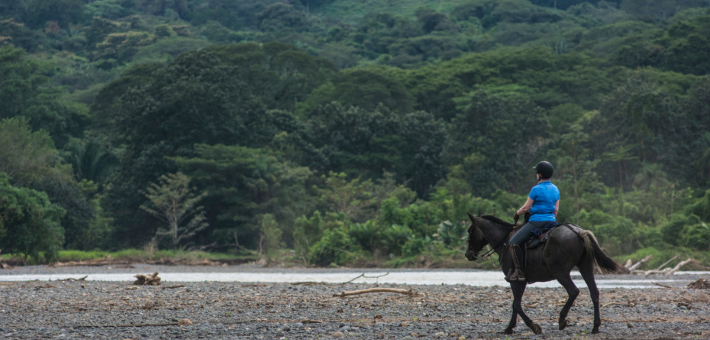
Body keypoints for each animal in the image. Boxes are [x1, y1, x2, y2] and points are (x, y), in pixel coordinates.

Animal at [464, 212, 620, 334]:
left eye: (470, 230)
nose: (467, 254)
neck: (505, 241)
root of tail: (578, 231)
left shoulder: (515, 280)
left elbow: (516, 304)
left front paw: (533, 326)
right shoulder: (520, 281)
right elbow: (515, 304)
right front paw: (509, 328)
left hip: (560, 271)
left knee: (573, 291)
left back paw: (562, 320)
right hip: (585, 267)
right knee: (594, 292)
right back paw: (595, 326)